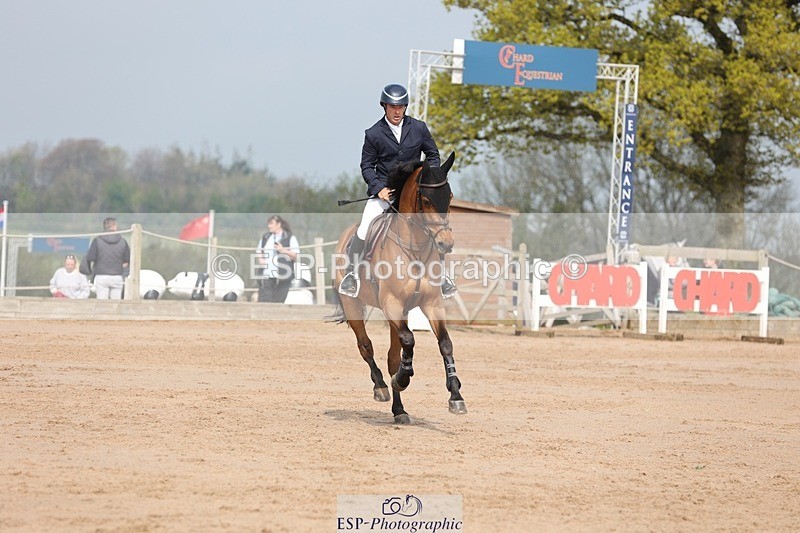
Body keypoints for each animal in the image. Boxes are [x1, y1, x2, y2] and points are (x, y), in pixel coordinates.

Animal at [328, 151, 466, 424]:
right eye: (426, 199)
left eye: (450, 197)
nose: (446, 244)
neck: (415, 249)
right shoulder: (391, 303)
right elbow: (409, 340)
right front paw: (402, 380)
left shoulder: (432, 304)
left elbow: (444, 343)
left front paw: (455, 395)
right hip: (353, 305)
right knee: (366, 346)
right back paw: (382, 386)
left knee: (394, 355)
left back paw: (399, 410)